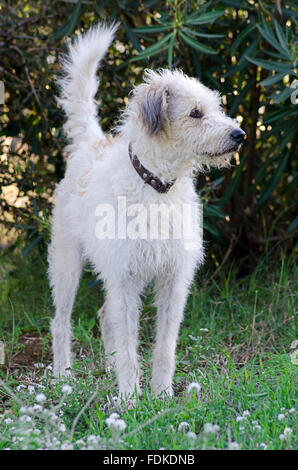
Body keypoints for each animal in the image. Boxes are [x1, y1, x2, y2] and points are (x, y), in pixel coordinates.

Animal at [48, 22, 244, 396]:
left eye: (215, 108)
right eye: (195, 113)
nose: (239, 134)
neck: (158, 186)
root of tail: (91, 142)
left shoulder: (173, 280)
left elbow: (164, 346)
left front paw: (162, 394)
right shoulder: (125, 279)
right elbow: (128, 347)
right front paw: (129, 398)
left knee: (103, 316)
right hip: (66, 266)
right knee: (60, 321)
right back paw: (63, 376)